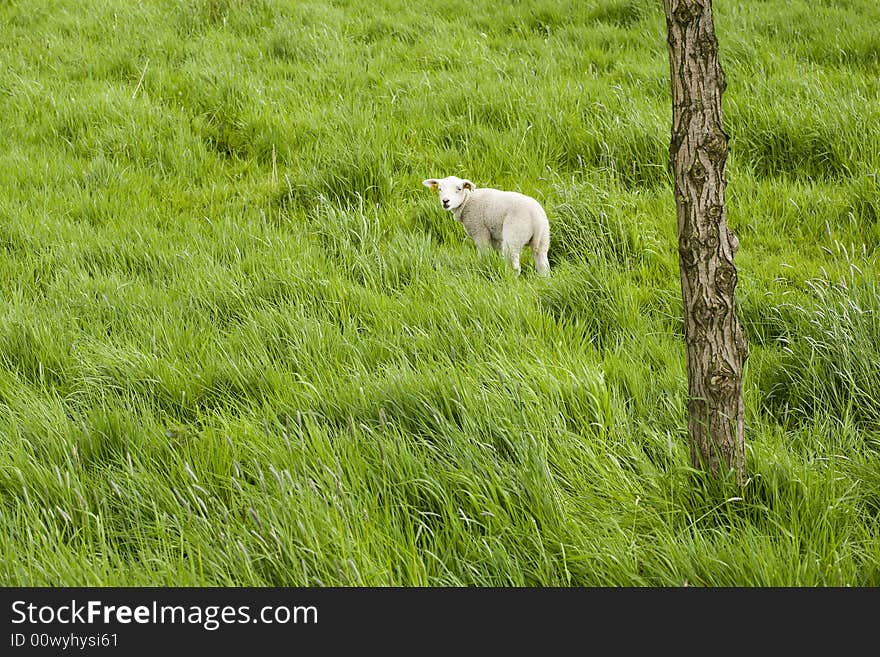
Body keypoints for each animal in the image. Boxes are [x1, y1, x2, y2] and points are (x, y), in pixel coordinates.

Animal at [422, 176, 552, 276]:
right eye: (439, 189)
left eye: (459, 189)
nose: (445, 201)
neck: (467, 201)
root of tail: (535, 218)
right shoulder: (494, 235)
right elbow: (496, 252)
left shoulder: (480, 230)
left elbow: (484, 253)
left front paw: (482, 268)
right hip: (544, 237)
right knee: (542, 264)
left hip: (515, 234)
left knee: (514, 265)